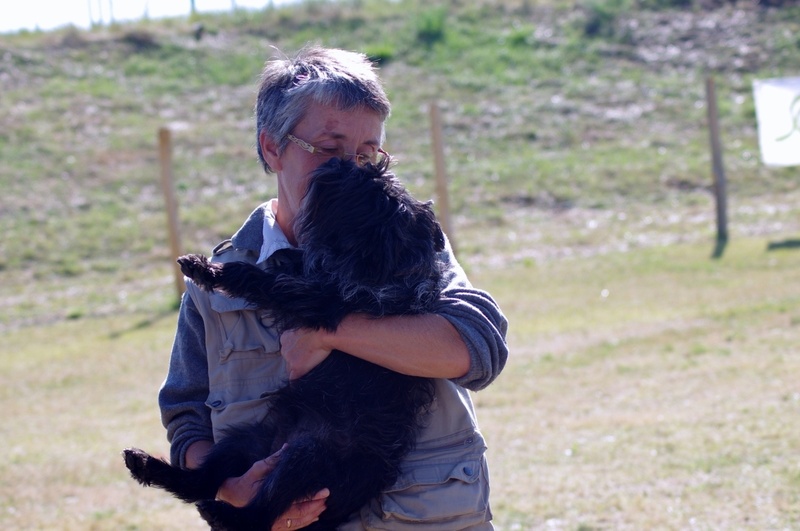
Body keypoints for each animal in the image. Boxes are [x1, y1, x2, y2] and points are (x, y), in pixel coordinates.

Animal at [127, 158, 446, 531]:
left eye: (367, 180)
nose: (338, 162)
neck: (389, 267)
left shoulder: (311, 299)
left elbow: (259, 280)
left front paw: (209, 271)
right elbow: (289, 269)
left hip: (306, 456)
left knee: (259, 514)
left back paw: (223, 514)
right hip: (242, 442)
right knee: (201, 483)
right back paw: (146, 465)